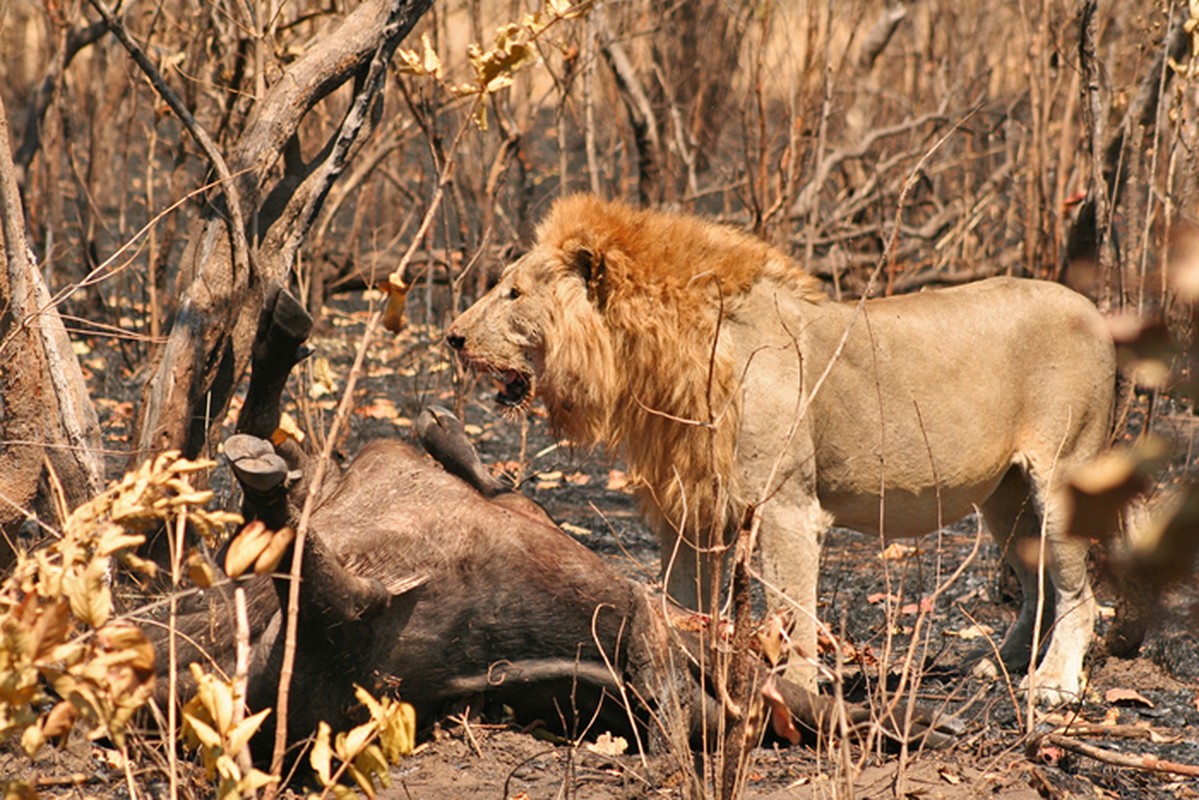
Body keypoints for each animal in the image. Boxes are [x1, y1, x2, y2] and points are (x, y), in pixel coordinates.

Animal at [448, 194, 1112, 700]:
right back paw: (997, 664)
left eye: (513, 294)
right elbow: (682, 601)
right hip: (1003, 497)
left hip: (1061, 475)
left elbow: (793, 607)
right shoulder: (691, 507)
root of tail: (1097, 311)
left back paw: (1052, 684)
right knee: (1038, 585)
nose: (452, 336)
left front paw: (794, 692)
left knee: (1079, 595)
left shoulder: (786, 506)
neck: (654, 359)